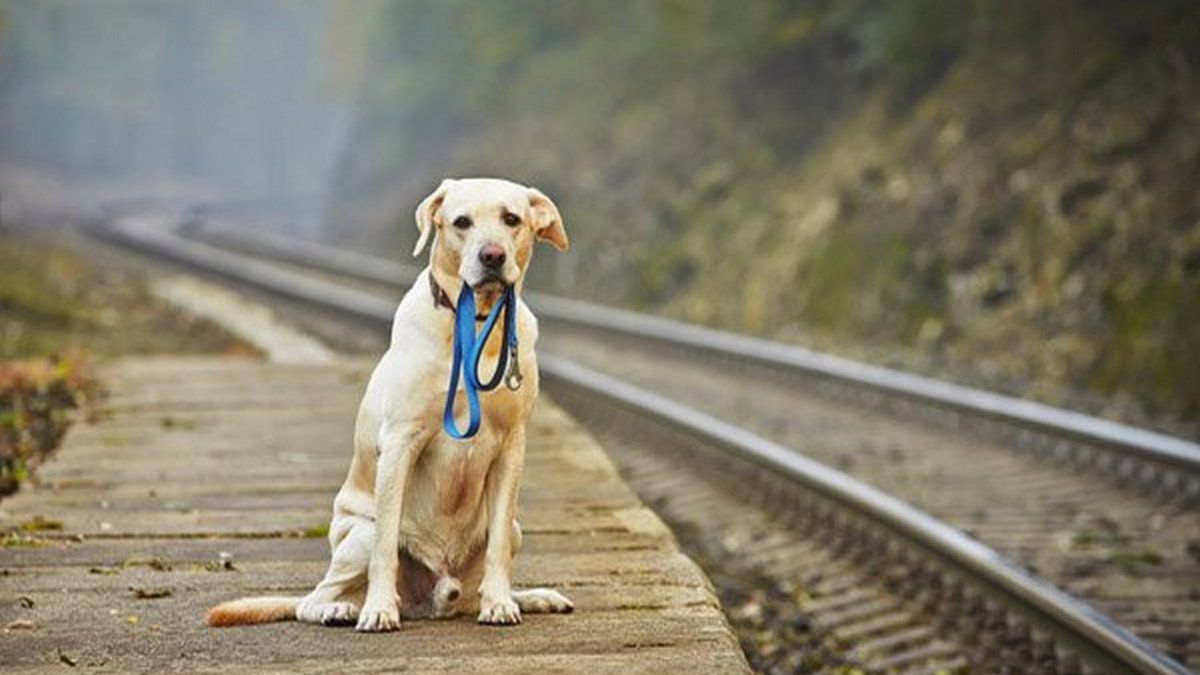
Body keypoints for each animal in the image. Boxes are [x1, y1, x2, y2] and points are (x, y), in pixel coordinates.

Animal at [207, 176, 576, 629]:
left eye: (511, 219)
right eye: (461, 222)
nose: (492, 255)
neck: (474, 326)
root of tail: (432, 599)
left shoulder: (511, 446)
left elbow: (498, 550)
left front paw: (501, 603)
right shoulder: (401, 442)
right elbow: (386, 546)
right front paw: (379, 609)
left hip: (514, 531)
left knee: (480, 577)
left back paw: (528, 597)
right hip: (356, 538)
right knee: (313, 597)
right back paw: (342, 608)